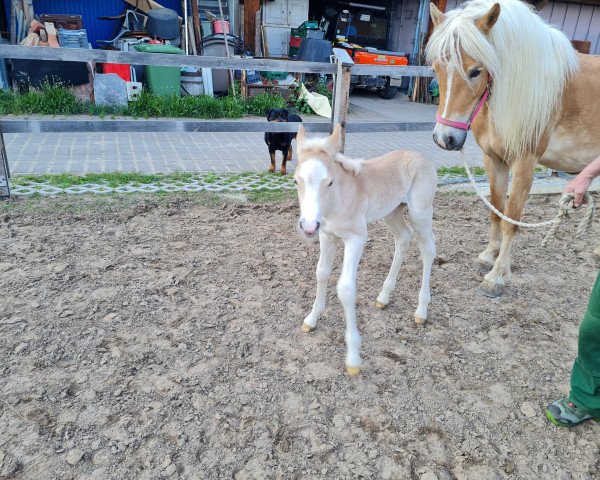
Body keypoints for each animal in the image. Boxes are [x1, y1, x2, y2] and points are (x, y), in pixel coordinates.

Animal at [294, 124, 436, 376]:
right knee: (403, 237)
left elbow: (345, 288)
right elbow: (322, 273)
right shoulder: (326, 235)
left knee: (428, 249)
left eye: (329, 182)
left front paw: (353, 359)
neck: (337, 202)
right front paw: (311, 319)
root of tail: (422, 157)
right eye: (295, 181)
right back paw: (384, 297)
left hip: (420, 213)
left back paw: (421, 311)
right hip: (392, 212)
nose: (308, 226)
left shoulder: (357, 238)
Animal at [426, 0, 600, 296]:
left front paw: (497, 277)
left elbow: (511, 219)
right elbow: (496, 209)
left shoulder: (525, 164)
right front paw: (489, 257)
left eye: (476, 70)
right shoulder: (493, 160)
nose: (445, 138)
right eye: (437, 68)